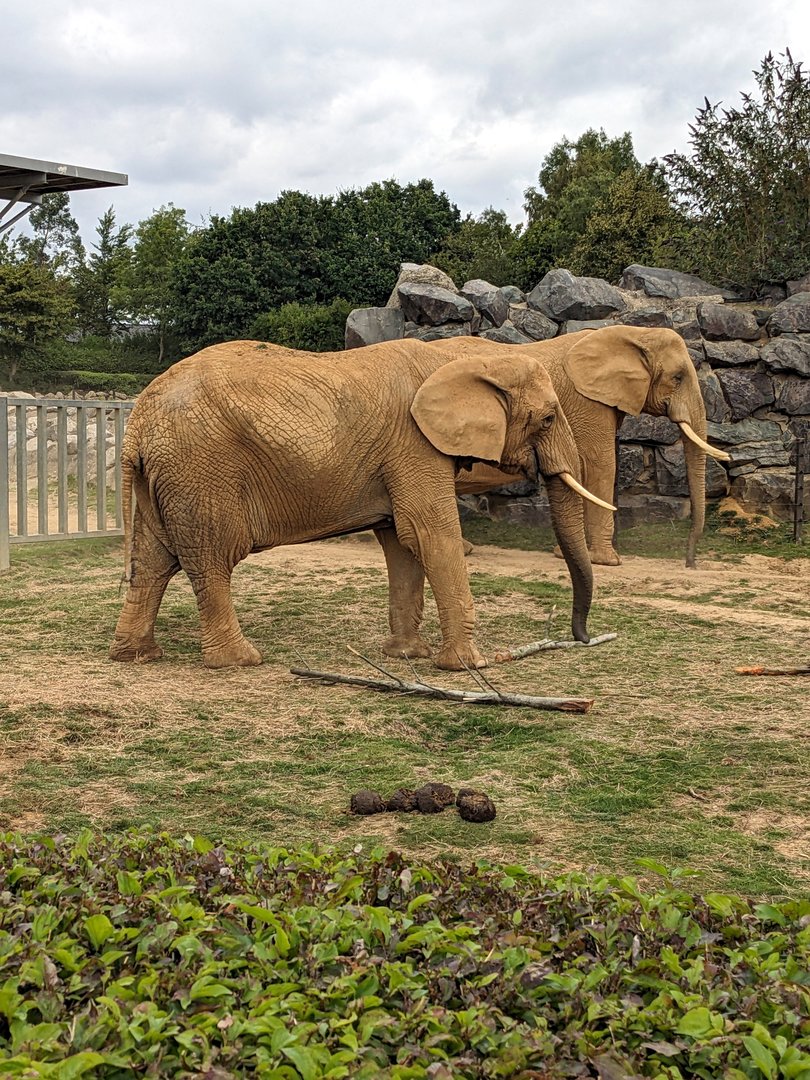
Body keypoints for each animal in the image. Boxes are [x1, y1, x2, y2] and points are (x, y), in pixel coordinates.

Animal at [109, 338, 611, 671]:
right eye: (548, 418)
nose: (585, 639)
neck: (461, 361)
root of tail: (138, 421)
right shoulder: (415, 445)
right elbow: (429, 534)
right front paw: (468, 666)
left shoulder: (401, 455)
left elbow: (402, 543)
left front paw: (407, 655)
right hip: (201, 471)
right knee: (211, 559)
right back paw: (240, 660)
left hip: (166, 477)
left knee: (153, 561)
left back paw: (136, 655)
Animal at [430, 326, 730, 567]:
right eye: (678, 378)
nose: (690, 563)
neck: (632, 333)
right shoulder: (588, 404)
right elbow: (600, 465)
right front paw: (606, 561)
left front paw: (567, 554)